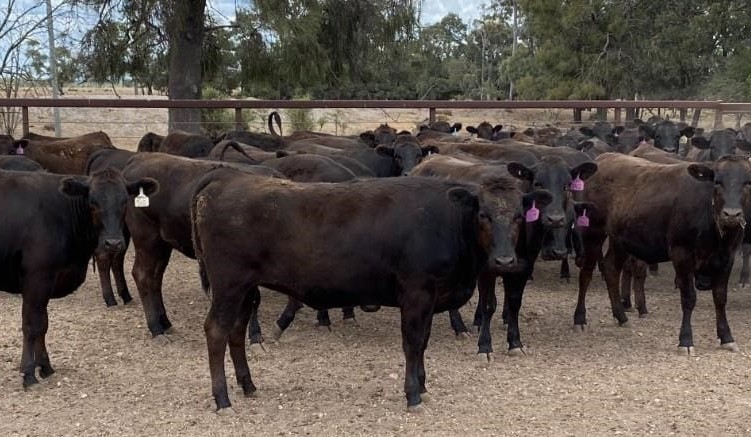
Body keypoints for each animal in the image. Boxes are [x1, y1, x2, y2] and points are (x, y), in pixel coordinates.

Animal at [0, 168, 158, 388]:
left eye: (125, 201)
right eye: (92, 202)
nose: (113, 243)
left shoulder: (48, 282)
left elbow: (44, 324)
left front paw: (45, 367)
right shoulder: (37, 278)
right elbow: (33, 325)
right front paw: (29, 373)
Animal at [190, 169, 546, 412]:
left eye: (519, 217)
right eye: (483, 215)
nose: (505, 260)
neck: (446, 221)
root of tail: (227, 178)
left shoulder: (430, 299)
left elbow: (423, 343)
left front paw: (423, 385)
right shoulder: (416, 293)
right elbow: (412, 343)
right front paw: (412, 393)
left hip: (245, 288)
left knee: (236, 331)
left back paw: (248, 385)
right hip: (229, 284)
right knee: (216, 331)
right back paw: (222, 399)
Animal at [574, 153, 751, 355]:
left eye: (747, 182)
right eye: (717, 182)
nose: (732, 214)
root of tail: (603, 158)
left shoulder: (727, 257)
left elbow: (720, 297)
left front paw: (727, 337)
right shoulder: (682, 253)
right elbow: (689, 297)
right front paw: (686, 340)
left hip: (619, 238)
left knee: (611, 268)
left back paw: (621, 316)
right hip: (592, 231)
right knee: (586, 273)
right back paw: (579, 319)